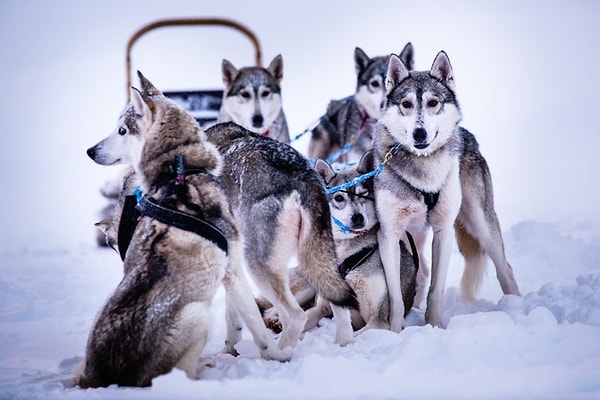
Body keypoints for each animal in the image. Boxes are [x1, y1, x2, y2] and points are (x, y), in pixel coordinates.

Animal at [79, 72, 288, 388]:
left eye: (121, 130)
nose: (90, 151)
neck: (179, 171)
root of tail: (103, 377)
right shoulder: (234, 269)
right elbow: (256, 325)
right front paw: (278, 357)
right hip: (197, 314)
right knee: (184, 373)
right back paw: (206, 364)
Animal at [204, 121, 358, 346]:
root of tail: (304, 177)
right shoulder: (232, 265)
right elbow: (234, 318)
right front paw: (230, 349)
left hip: (260, 266)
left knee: (295, 317)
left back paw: (283, 350)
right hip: (320, 260)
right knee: (338, 303)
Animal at [376, 50, 520, 332]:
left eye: (433, 102)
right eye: (406, 104)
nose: (420, 133)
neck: (423, 173)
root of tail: (466, 135)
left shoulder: (443, 231)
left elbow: (436, 290)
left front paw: (434, 326)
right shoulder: (389, 235)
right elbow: (395, 295)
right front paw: (395, 332)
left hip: (480, 221)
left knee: (505, 268)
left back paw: (518, 306)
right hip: (413, 237)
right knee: (421, 272)